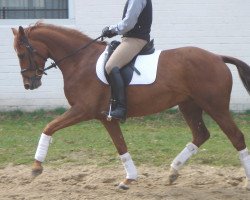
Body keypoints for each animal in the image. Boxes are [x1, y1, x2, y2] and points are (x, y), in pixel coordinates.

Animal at [11, 22, 250, 190]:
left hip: (215, 106)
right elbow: (121, 146)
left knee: (236, 137)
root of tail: (217, 57)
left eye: (21, 53)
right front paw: (129, 179)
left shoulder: (82, 110)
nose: (28, 84)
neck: (79, 61)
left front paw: (36, 167)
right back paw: (173, 172)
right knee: (201, 134)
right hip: (189, 106)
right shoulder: (105, 117)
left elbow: (49, 127)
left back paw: (246, 182)